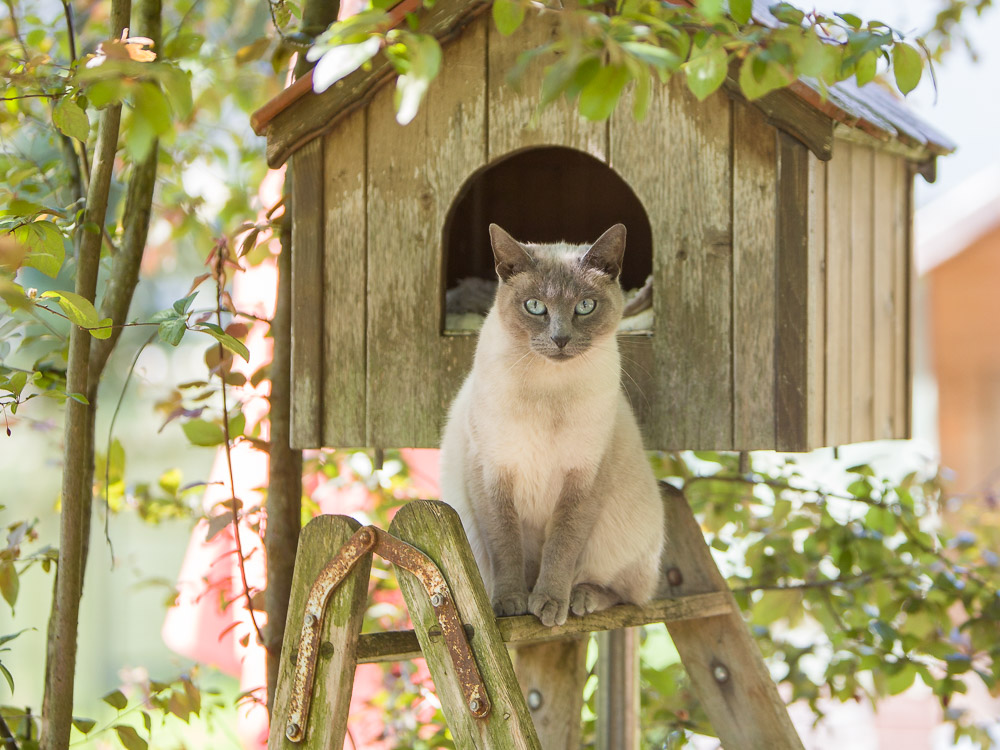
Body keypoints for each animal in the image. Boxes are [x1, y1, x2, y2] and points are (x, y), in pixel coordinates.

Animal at [440, 223, 664, 628]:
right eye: (535, 307)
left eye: (585, 307)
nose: (560, 339)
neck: (548, 390)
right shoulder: (492, 471)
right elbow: (505, 546)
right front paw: (511, 603)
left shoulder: (584, 477)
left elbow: (562, 546)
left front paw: (547, 602)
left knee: (629, 594)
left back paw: (579, 599)